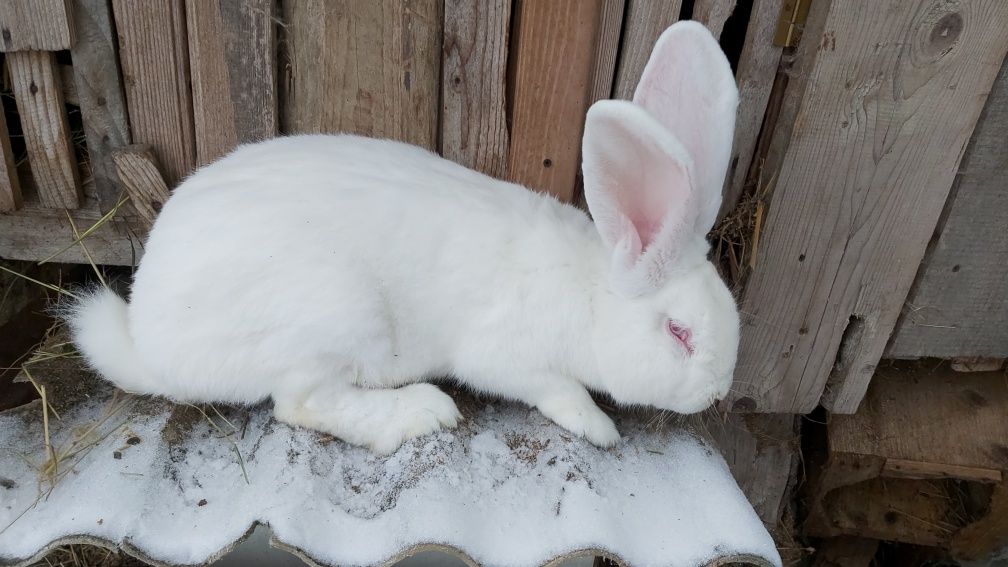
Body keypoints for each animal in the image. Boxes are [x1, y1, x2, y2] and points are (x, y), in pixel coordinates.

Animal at [65, 22, 741, 451]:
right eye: (678, 333)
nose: (718, 396)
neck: (590, 294)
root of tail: (151, 341)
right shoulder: (507, 355)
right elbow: (555, 388)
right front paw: (599, 426)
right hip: (335, 313)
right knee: (300, 402)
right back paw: (423, 413)